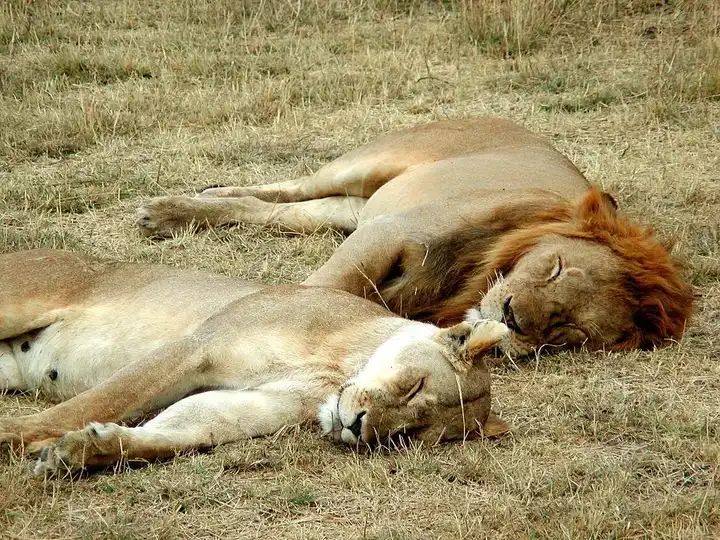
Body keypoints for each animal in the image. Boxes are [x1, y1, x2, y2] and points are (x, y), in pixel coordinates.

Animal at [0, 251, 510, 474]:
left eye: (406, 436)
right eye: (414, 385)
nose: (358, 427)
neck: (335, 370)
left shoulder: (254, 405)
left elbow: (183, 431)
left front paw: (81, 451)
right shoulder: (196, 346)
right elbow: (97, 401)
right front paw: (17, 436)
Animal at [138, 116, 696, 356]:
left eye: (569, 332)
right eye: (557, 267)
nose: (513, 318)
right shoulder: (389, 232)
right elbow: (321, 289)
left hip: (350, 209)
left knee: (277, 210)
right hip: (365, 166)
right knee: (286, 186)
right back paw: (171, 208)